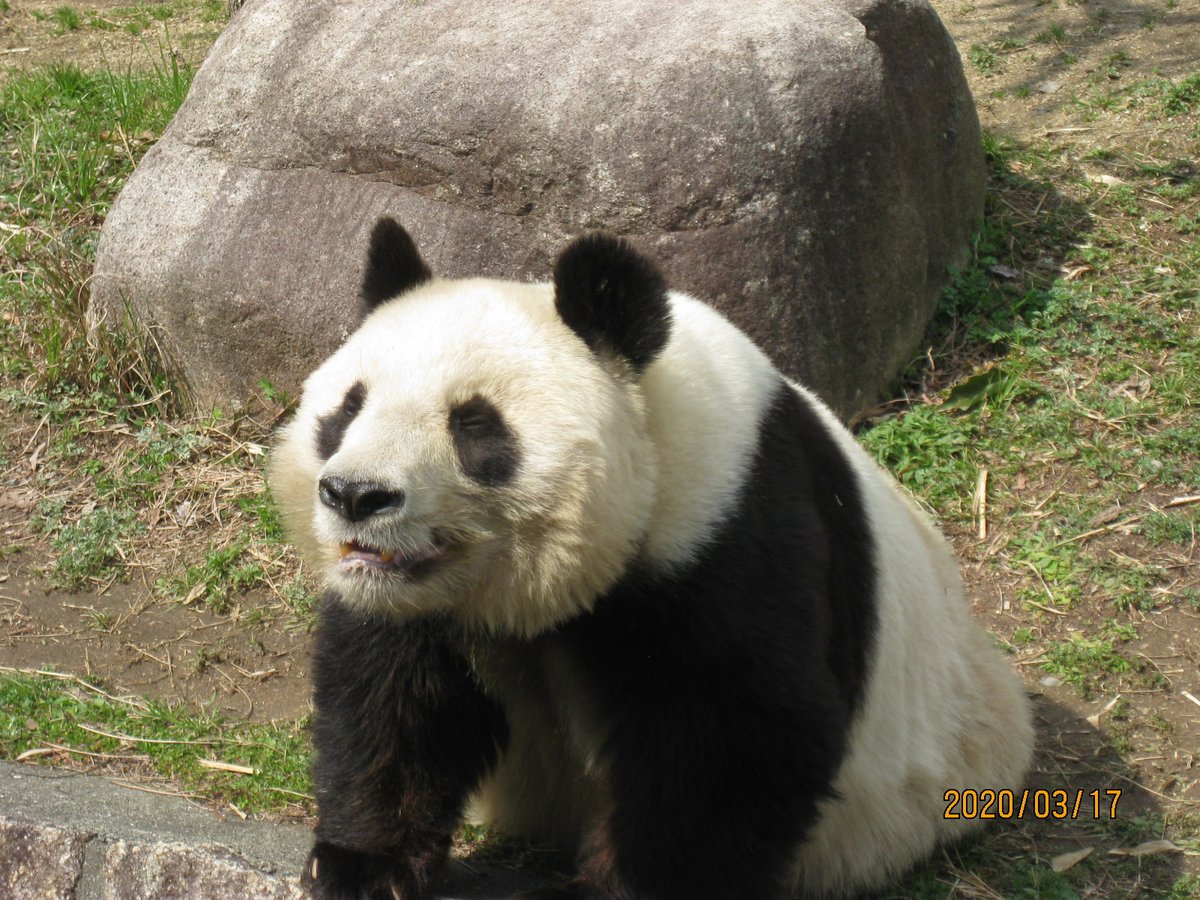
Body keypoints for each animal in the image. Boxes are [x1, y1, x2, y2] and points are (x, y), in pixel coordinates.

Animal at [272, 220, 1032, 900]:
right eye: (349, 407)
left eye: (476, 425)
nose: (356, 494)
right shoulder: (417, 602)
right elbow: (395, 694)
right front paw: (363, 865)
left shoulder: (729, 529)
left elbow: (735, 736)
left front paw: (608, 889)